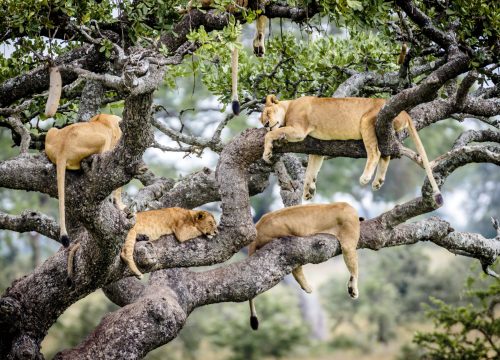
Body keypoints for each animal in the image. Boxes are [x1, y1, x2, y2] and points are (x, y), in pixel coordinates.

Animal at [260, 94, 444, 207]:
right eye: (261, 119)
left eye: (267, 113)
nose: (266, 124)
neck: (289, 105)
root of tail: (405, 112)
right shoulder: (317, 150)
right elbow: (310, 171)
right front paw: (308, 191)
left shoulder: (299, 130)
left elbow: (271, 135)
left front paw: (267, 153)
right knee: (386, 155)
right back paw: (378, 182)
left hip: (367, 120)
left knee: (375, 153)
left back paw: (366, 178)